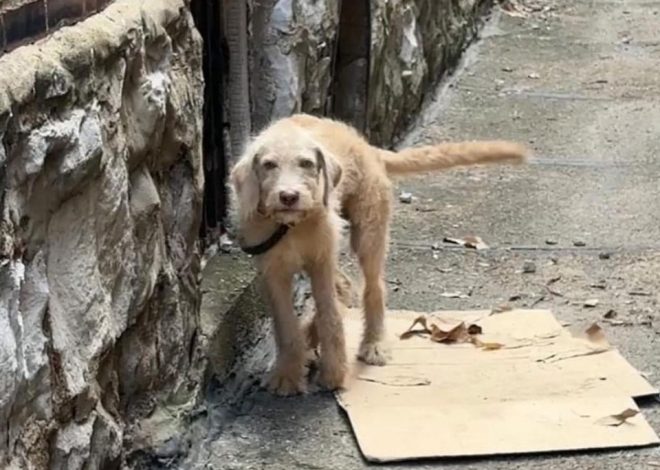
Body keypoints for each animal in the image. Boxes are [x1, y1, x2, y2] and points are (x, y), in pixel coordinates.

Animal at [229, 114, 528, 396]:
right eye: (269, 165)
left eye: (306, 163)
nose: (289, 196)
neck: (292, 226)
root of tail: (366, 146)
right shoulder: (274, 270)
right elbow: (285, 325)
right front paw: (287, 374)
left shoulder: (321, 260)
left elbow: (330, 316)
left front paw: (334, 373)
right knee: (345, 286)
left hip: (369, 232)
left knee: (373, 288)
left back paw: (373, 344)